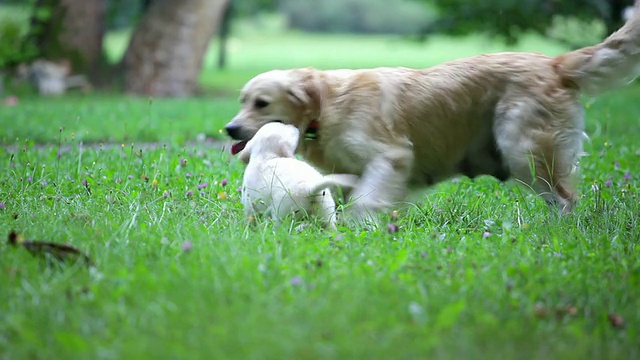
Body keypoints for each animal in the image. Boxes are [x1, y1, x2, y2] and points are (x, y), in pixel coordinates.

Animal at [228, 2, 636, 219]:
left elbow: (365, 201)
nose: (230, 129)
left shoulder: (391, 156)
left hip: (524, 148)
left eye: (261, 103)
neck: (327, 104)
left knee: (565, 199)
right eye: (241, 100)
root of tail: (555, 63)